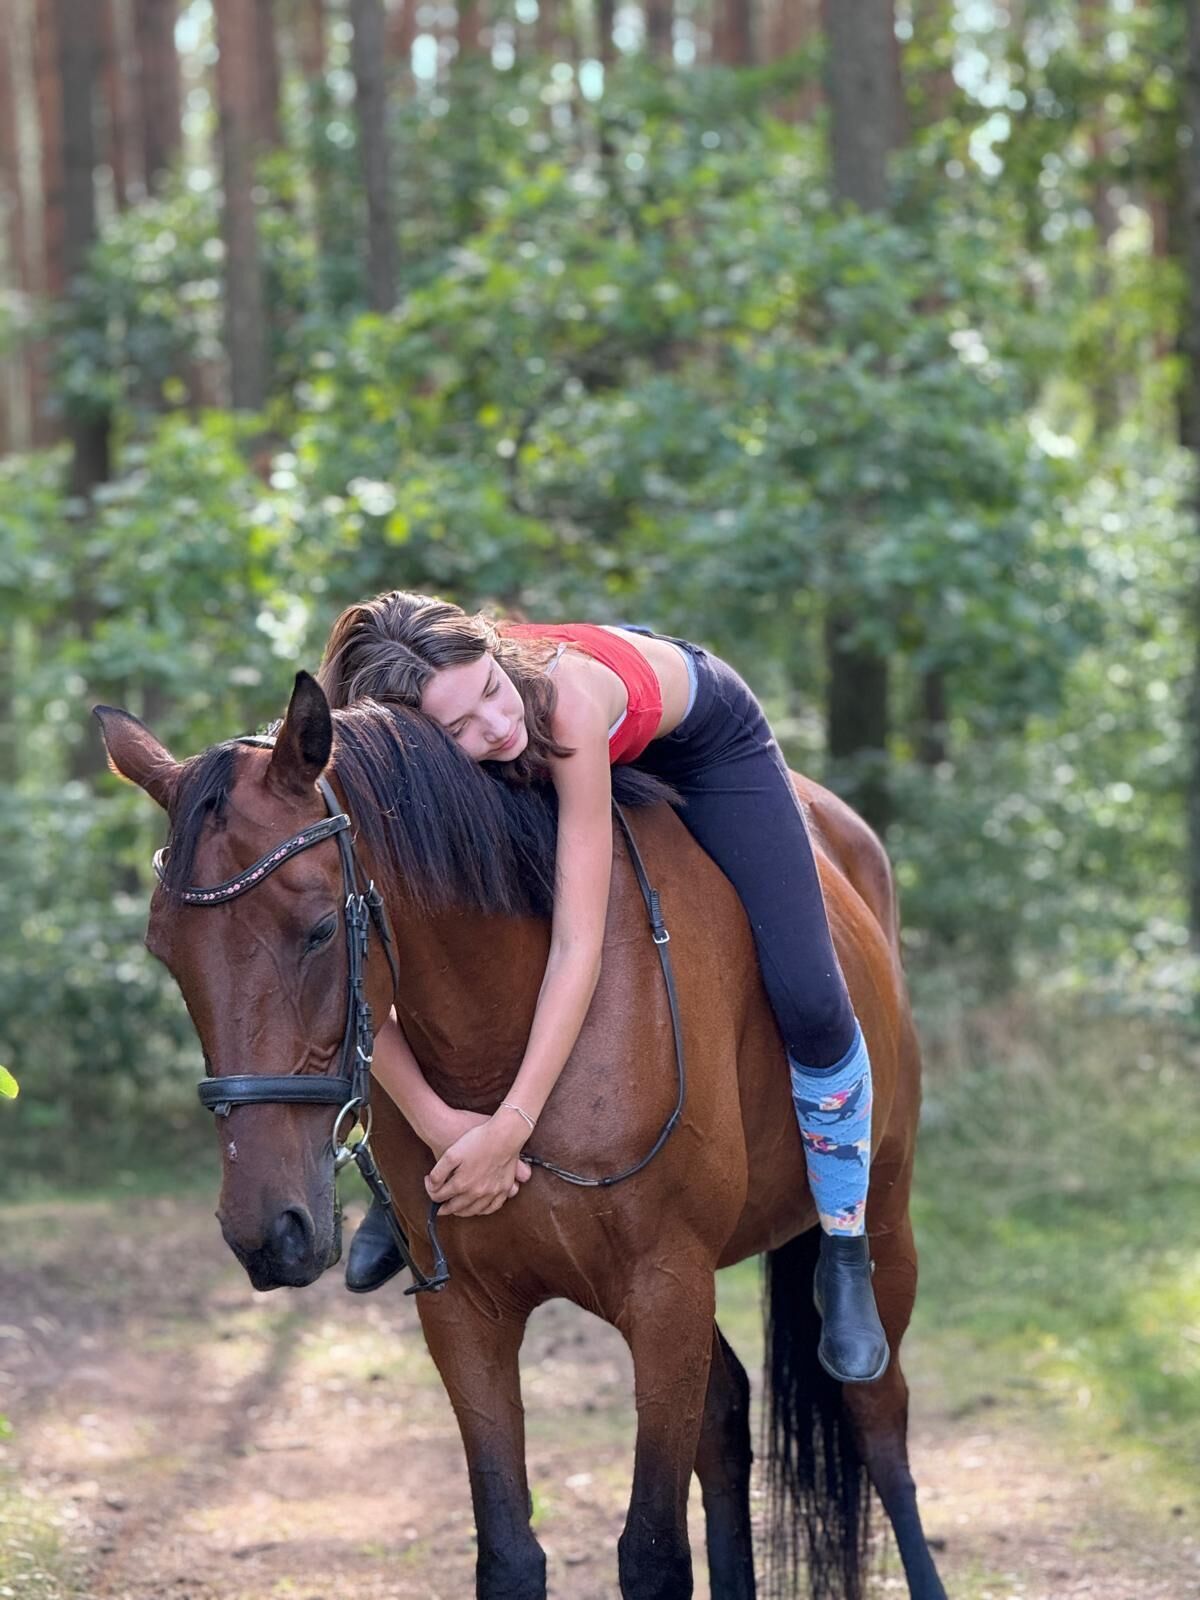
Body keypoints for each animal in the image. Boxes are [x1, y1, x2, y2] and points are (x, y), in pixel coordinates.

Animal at [95, 670, 947, 1600]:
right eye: (165, 952)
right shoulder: (465, 1311)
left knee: (879, 1417)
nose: (267, 1232)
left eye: (320, 929)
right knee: (725, 1419)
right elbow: (508, 1552)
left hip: (884, 1219)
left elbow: (652, 1554)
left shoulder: (666, 1291)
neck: (507, 1034)